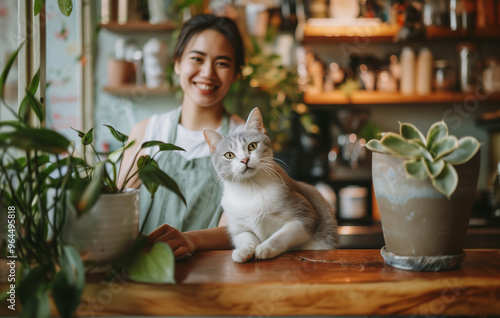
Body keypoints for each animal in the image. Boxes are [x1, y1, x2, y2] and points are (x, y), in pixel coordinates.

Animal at [204, 108, 340, 262]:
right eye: (229, 155)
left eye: (252, 146)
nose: (245, 160)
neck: (251, 189)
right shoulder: (239, 226)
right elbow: (245, 236)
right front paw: (244, 250)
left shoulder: (305, 216)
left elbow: (283, 235)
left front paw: (266, 248)